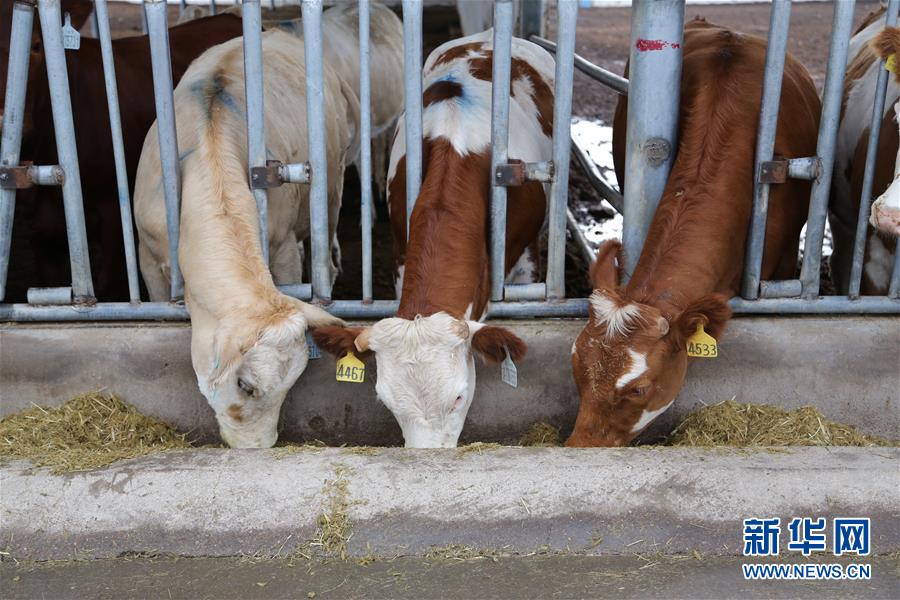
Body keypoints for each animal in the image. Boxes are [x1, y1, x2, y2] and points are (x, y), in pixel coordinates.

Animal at [134, 30, 358, 448]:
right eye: (246, 385)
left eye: (290, 388)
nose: (259, 447)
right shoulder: (146, 256)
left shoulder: (282, 247)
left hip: (333, 182)